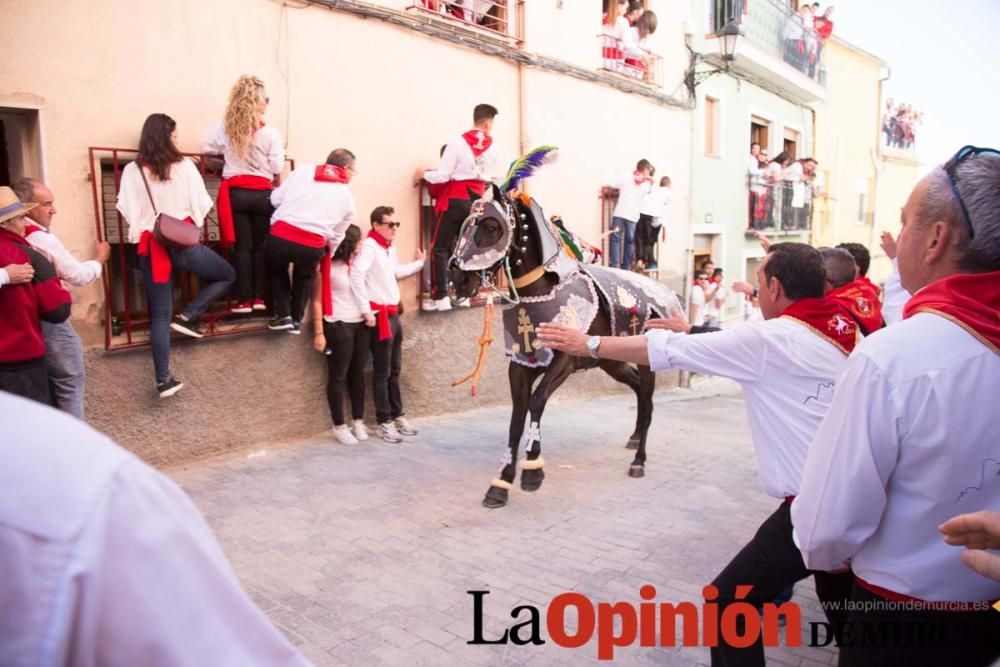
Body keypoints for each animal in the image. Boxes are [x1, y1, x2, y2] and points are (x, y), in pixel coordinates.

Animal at [452, 183, 680, 506]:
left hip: (646, 362)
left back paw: (639, 460)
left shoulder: (565, 361)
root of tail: (667, 293)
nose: (457, 279)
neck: (543, 291)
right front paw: (501, 483)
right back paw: (634, 437)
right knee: (637, 388)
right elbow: (517, 417)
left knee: (647, 402)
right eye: (464, 225)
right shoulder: (521, 365)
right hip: (612, 363)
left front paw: (532, 471)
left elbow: (536, 402)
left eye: (492, 226)